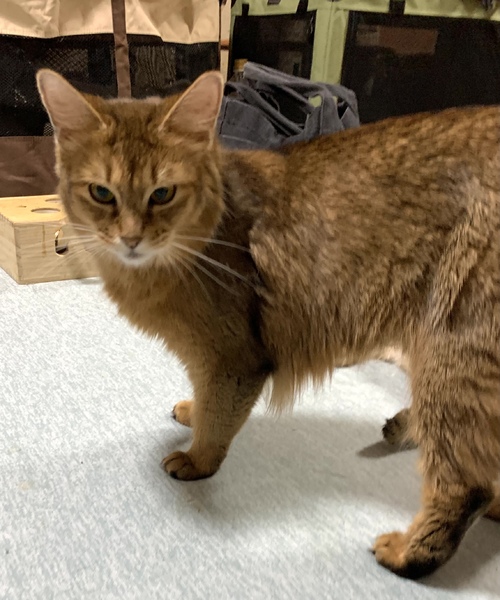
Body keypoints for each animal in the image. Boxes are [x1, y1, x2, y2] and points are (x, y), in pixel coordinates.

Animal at [36, 68, 500, 580]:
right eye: (102, 193)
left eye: (163, 194)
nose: (131, 238)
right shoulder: (207, 358)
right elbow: (205, 397)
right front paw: (193, 411)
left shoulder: (235, 358)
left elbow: (220, 416)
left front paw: (198, 458)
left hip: (451, 353)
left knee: (468, 485)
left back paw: (407, 553)